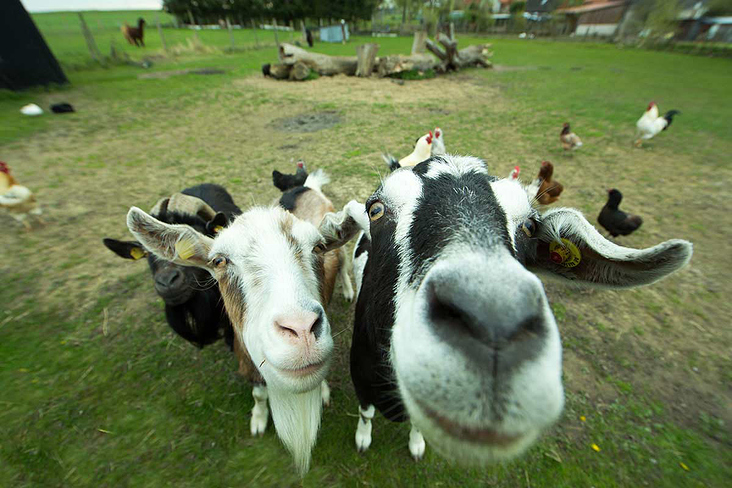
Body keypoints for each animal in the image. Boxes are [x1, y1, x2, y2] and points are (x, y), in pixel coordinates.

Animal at [124, 171, 354, 472]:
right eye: (219, 261)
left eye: (317, 247)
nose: (302, 330)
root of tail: (306, 186)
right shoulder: (246, 357)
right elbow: (258, 393)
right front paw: (258, 420)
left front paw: (323, 392)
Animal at [322, 156, 692, 466]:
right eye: (376, 210)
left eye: (529, 226)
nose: (495, 327)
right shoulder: (361, 377)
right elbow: (366, 414)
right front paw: (363, 440)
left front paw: (415, 445)